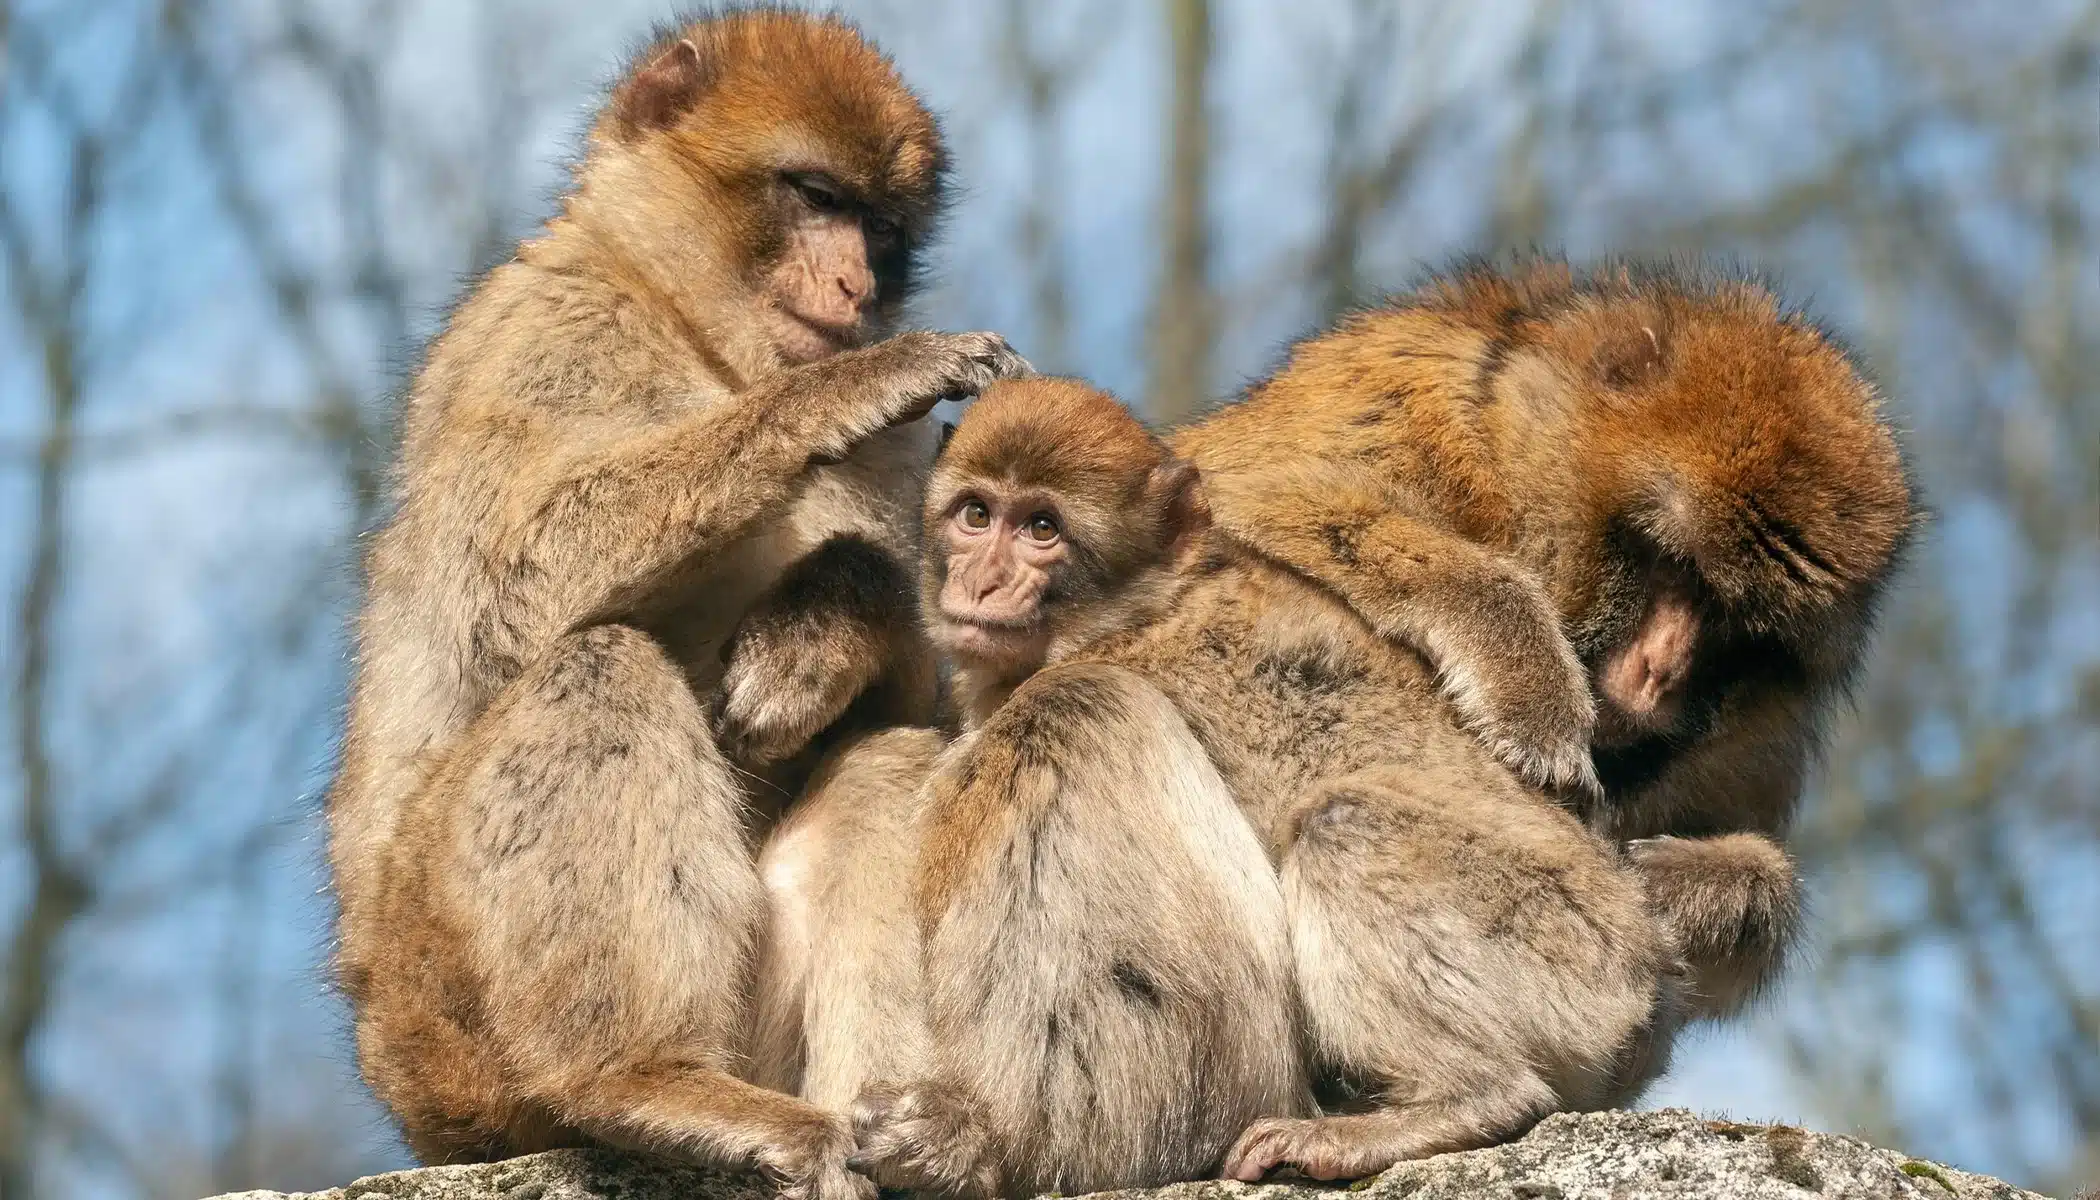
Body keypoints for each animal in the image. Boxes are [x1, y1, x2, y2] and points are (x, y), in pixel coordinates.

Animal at [325, 13, 1028, 1200]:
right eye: (815, 195)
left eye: (883, 231)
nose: (856, 285)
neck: (686, 330)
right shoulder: (544, 334)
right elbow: (517, 590)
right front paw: (843, 391)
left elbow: (912, 695)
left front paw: (822, 629)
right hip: (439, 1010)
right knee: (595, 667)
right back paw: (636, 1077)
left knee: (886, 755)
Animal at [850, 377, 1682, 1196]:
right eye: (976, 515)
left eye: (1042, 529)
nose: (982, 580)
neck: (1125, 612)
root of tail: (1649, 983)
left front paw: (985, 1143)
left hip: (1571, 960)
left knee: (1335, 825)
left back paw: (1465, 1100)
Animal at [1173, 259, 1917, 1018]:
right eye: (1674, 565)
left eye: (1741, 633)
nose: (1660, 671)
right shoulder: (1412, 400)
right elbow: (1258, 491)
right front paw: (1530, 683)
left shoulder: (1760, 751)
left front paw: (1712, 888)